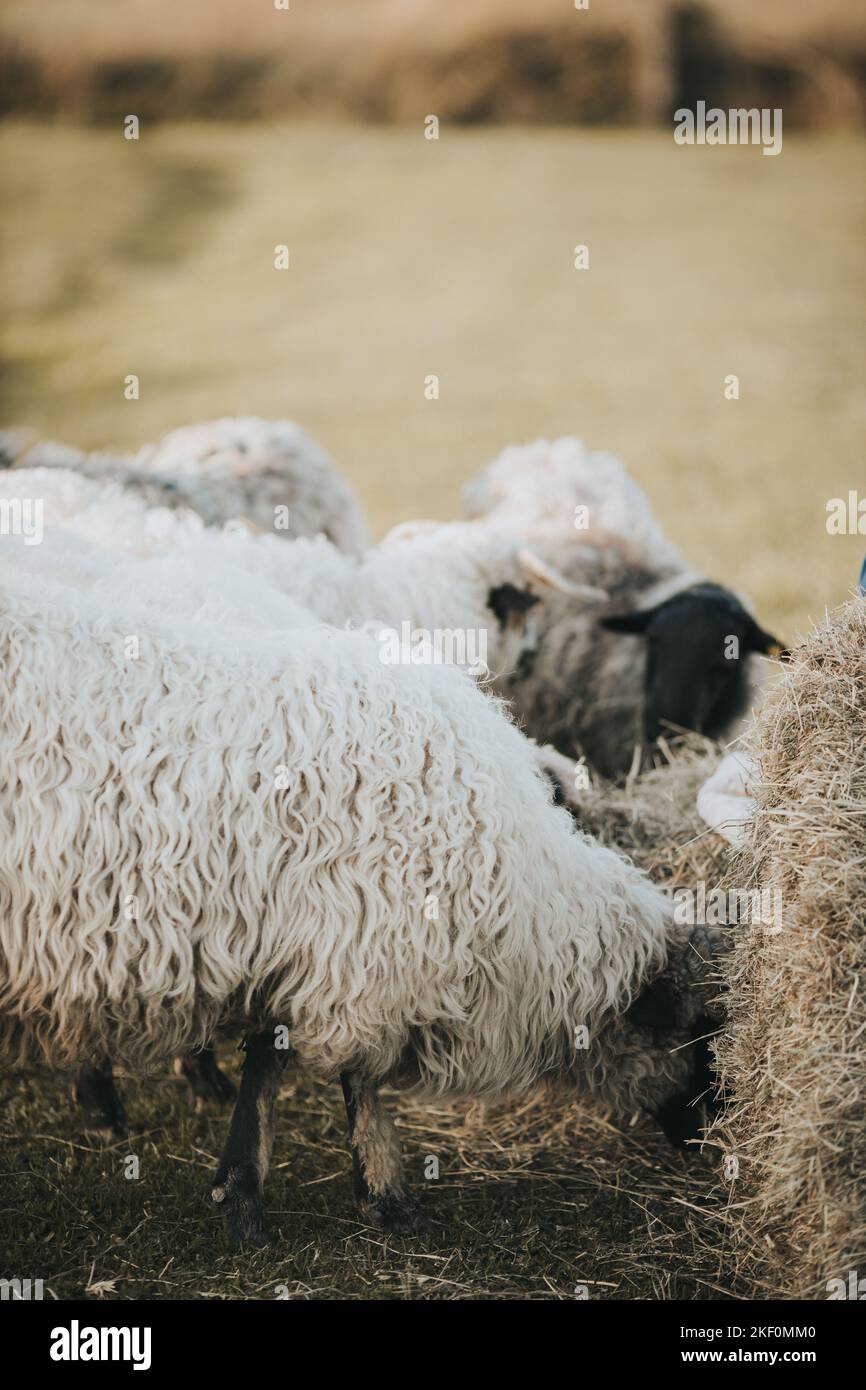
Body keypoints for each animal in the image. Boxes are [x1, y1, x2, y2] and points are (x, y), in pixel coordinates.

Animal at [0, 565, 721, 1247]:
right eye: (702, 1037)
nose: (710, 1143)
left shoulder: (305, 951)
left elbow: (267, 1067)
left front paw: (242, 1192)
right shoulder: (369, 950)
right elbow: (356, 1082)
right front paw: (381, 1198)